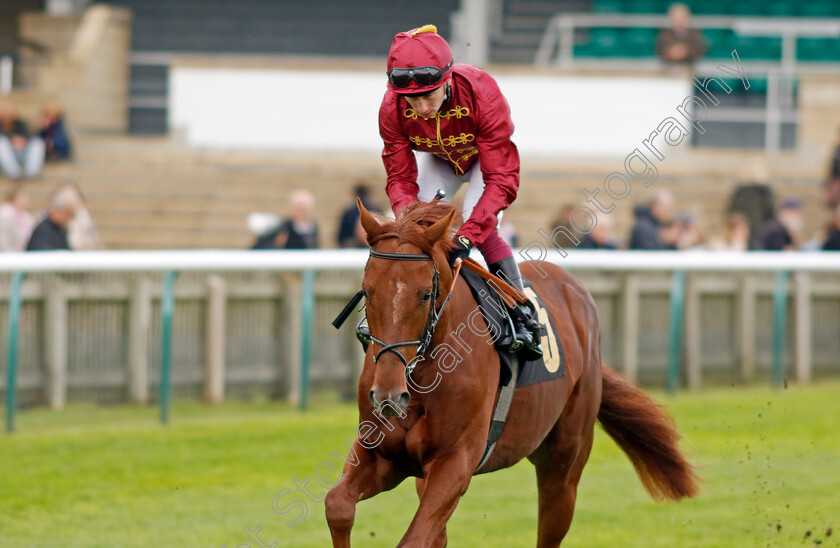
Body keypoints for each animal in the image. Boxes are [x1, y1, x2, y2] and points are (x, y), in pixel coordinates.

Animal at [324, 201, 700, 548]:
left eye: (426, 295)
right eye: (367, 291)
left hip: (564, 462)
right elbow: (337, 505)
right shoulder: (385, 455)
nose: (388, 395)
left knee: (552, 522)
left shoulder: (455, 462)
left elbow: (414, 539)